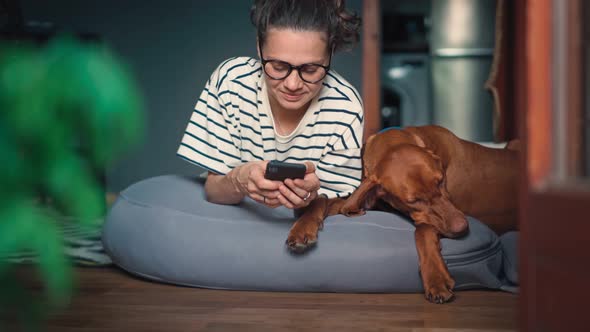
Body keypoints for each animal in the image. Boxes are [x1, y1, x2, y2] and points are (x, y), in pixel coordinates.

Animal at [284, 125, 520, 304]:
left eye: (441, 180)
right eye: (413, 201)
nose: (462, 227)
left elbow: (423, 230)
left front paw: (436, 278)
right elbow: (323, 200)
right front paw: (302, 228)